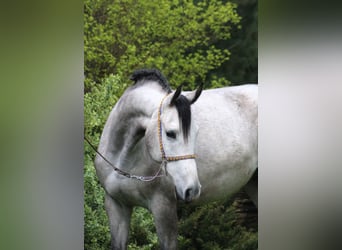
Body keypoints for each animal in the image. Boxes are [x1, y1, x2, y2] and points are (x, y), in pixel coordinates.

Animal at [93, 69, 256, 250]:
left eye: (196, 133)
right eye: (170, 133)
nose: (192, 190)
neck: (123, 161)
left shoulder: (164, 208)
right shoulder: (116, 206)